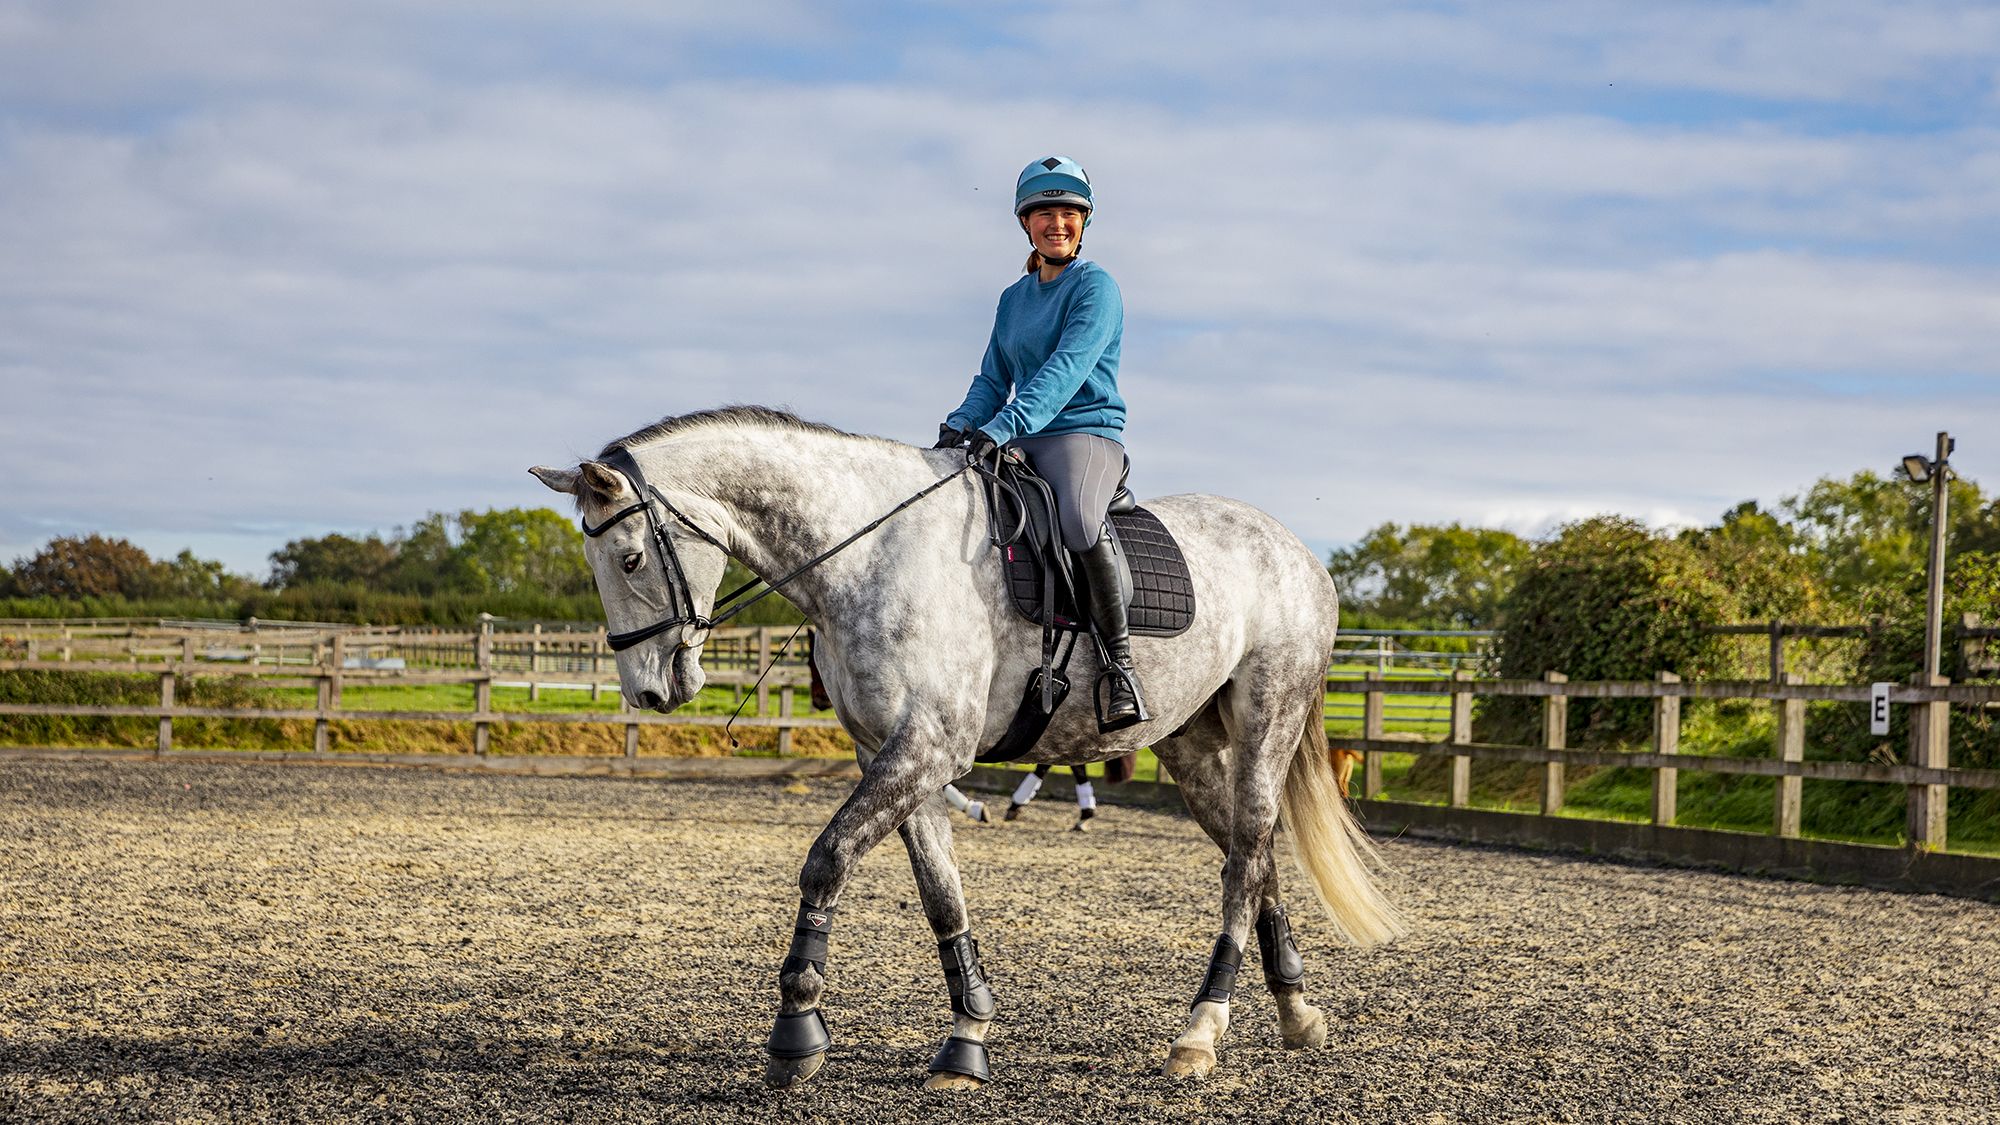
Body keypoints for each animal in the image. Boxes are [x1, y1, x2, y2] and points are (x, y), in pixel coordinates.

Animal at [530, 405, 1400, 1090]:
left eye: (631, 558)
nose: (649, 692)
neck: (868, 554)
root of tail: (1297, 552)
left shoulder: (928, 746)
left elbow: (826, 858)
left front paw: (796, 1032)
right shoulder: (892, 753)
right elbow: (939, 892)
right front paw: (966, 1038)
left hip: (1267, 721)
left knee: (1246, 856)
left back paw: (1200, 1032)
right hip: (1188, 745)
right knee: (1257, 858)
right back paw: (1296, 1012)